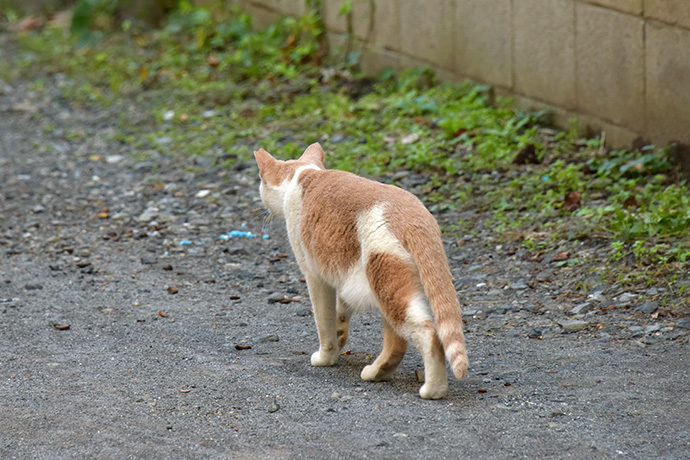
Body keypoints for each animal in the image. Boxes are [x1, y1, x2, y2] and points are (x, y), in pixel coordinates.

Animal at [254, 143, 468, 398]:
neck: (304, 174)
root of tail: (414, 216)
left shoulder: (315, 277)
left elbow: (323, 322)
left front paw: (326, 356)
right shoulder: (345, 275)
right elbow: (340, 313)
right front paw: (340, 338)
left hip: (386, 286)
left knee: (429, 334)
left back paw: (433, 389)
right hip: (384, 289)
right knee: (397, 342)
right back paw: (377, 372)